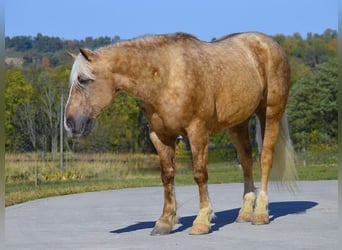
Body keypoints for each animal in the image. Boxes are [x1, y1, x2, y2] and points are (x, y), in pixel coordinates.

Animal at [65, 32, 296, 235]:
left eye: (84, 80)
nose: (70, 123)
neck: (165, 75)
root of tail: (268, 44)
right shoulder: (160, 136)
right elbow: (167, 176)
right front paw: (164, 222)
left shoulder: (197, 131)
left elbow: (200, 174)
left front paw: (202, 221)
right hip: (238, 123)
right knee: (246, 160)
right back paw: (245, 212)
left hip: (270, 113)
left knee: (265, 158)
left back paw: (261, 213)